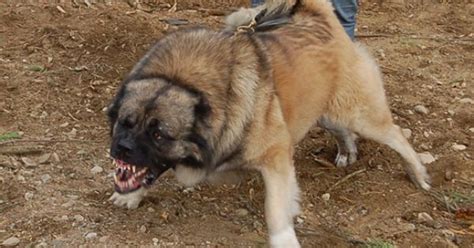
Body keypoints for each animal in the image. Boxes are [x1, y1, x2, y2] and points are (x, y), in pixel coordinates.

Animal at [106, 0, 430, 247]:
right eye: (125, 122)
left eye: (159, 135)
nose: (121, 148)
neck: (185, 81)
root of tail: (318, 16)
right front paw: (131, 195)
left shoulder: (276, 157)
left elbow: (275, 208)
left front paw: (284, 239)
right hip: (324, 111)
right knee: (343, 130)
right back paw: (346, 150)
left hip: (359, 114)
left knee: (396, 135)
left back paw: (418, 173)